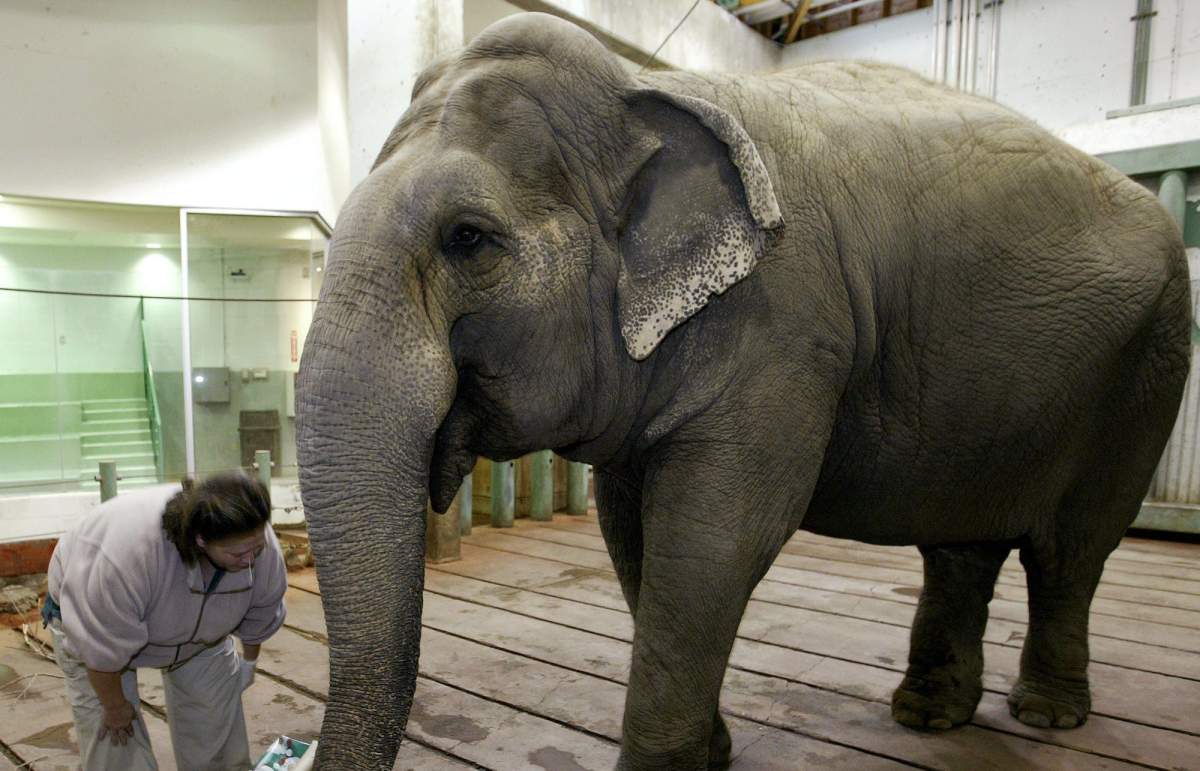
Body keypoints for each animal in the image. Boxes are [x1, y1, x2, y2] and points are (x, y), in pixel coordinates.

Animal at [296, 12, 1191, 770]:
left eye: (468, 239)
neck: (645, 92)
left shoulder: (784, 325)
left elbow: (712, 539)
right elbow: (633, 533)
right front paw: (709, 755)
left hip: (1153, 359)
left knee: (1073, 547)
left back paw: (1045, 713)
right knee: (960, 544)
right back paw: (929, 715)